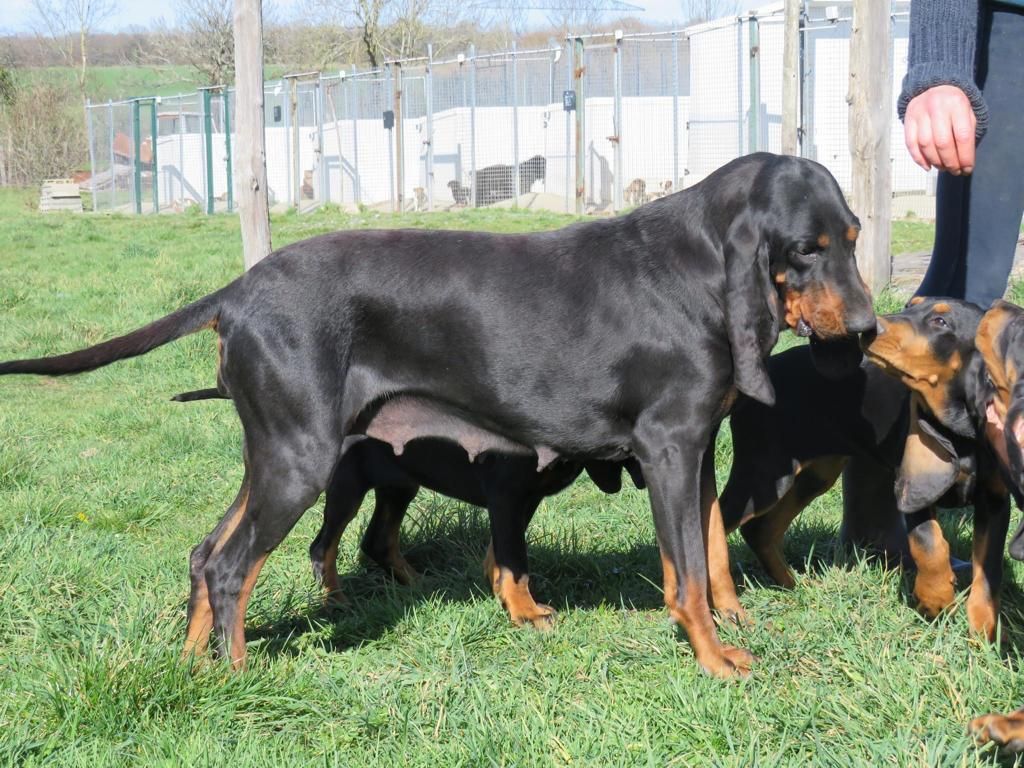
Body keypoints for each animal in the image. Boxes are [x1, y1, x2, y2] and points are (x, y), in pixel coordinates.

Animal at [2, 153, 880, 675]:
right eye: (807, 247)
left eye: (855, 235)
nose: (871, 330)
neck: (697, 269)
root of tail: (238, 292)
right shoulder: (669, 447)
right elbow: (687, 574)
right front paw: (713, 656)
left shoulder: (696, 448)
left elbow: (712, 550)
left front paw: (736, 622)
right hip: (300, 461)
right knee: (229, 566)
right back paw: (239, 674)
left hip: (275, 454)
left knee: (202, 552)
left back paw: (194, 665)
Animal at [720, 301, 1007, 643]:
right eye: (910, 305)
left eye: (941, 321)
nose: (870, 328)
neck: (961, 434)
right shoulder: (913, 488)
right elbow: (929, 543)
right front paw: (935, 599)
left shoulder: (994, 501)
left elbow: (988, 567)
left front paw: (983, 630)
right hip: (763, 472)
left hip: (813, 474)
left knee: (759, 529)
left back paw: (791, 585)